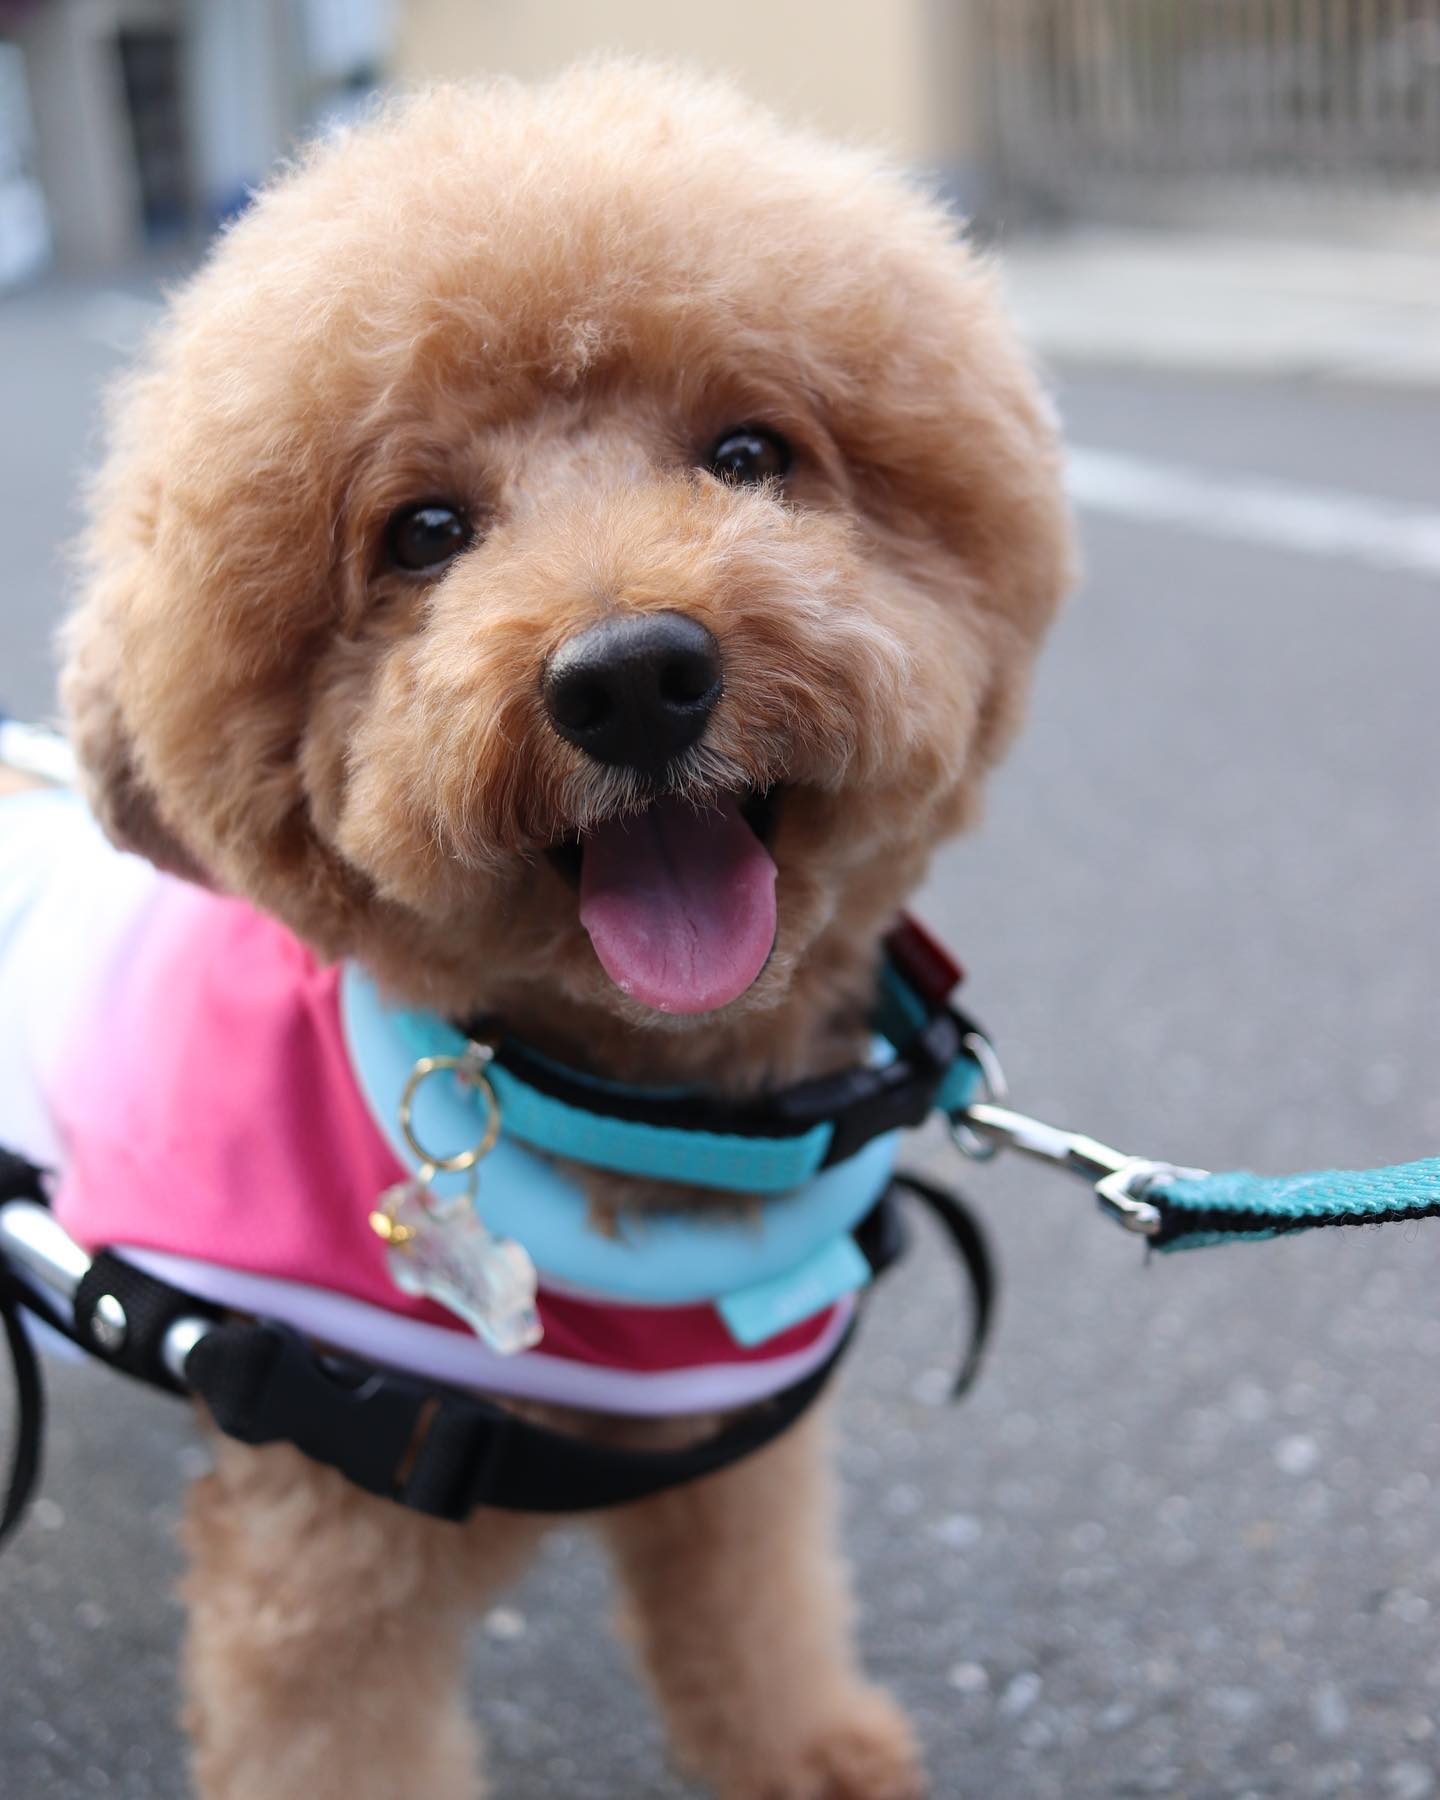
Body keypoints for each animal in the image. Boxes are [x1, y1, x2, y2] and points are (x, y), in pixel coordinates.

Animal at [14, 60, 1072, 1800]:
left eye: (749, 451)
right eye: (425, 533)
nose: (633, 675)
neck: (627, 1113)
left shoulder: (727, 1448)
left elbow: (754, 1615)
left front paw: (809, 1753)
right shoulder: (322, 1574)